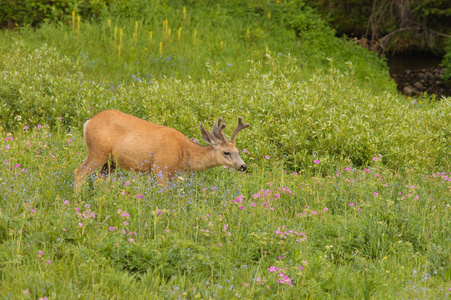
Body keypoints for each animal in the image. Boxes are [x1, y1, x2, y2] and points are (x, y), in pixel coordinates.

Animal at [74, 109, 251, 192]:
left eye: (238, 150)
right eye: (226, 152)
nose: (243, 166)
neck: (184, 153)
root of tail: (88, 122)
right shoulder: (160, 167)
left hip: (111, 162)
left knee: (99, 180)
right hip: (98, 151)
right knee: (79, 173)